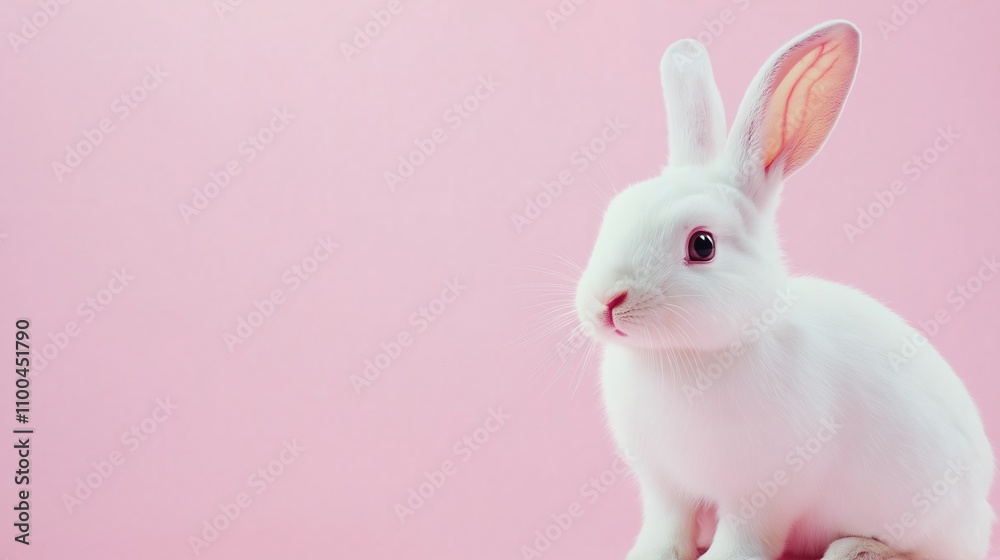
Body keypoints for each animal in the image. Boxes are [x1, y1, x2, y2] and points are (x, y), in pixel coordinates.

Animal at [573, 20, 995, 560]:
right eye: (614, 213)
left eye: (702, 245)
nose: (606, 303)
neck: (683, 356)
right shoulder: (666, 489)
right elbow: (667, 530)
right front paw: (648, 555)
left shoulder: (762, 495)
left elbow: (745, 538)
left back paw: (855, 550)